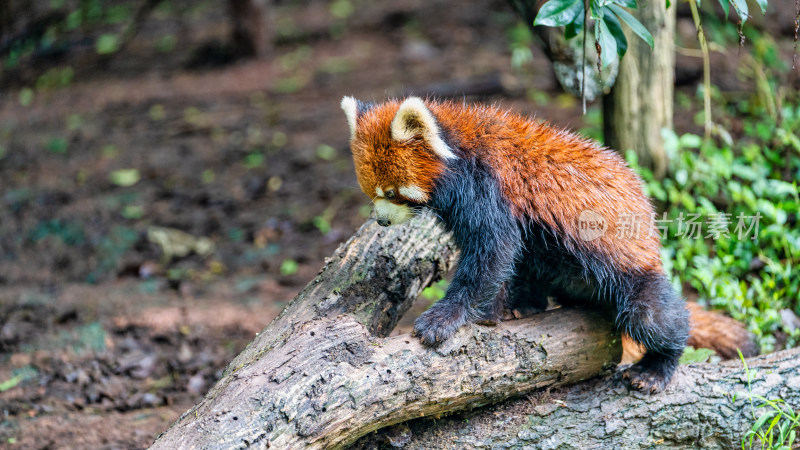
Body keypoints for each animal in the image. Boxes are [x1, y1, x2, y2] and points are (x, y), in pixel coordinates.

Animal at [342, 96, 756, 392]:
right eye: (371, 192)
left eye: (392, 193)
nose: (381, 221)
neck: (458, 148)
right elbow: (503, 258)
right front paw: (493, 311)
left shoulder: (489, 187)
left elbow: (492, 253)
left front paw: (445, 318)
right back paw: (526, 305)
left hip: (632, 268)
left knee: (653, 317)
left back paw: (656, 367)